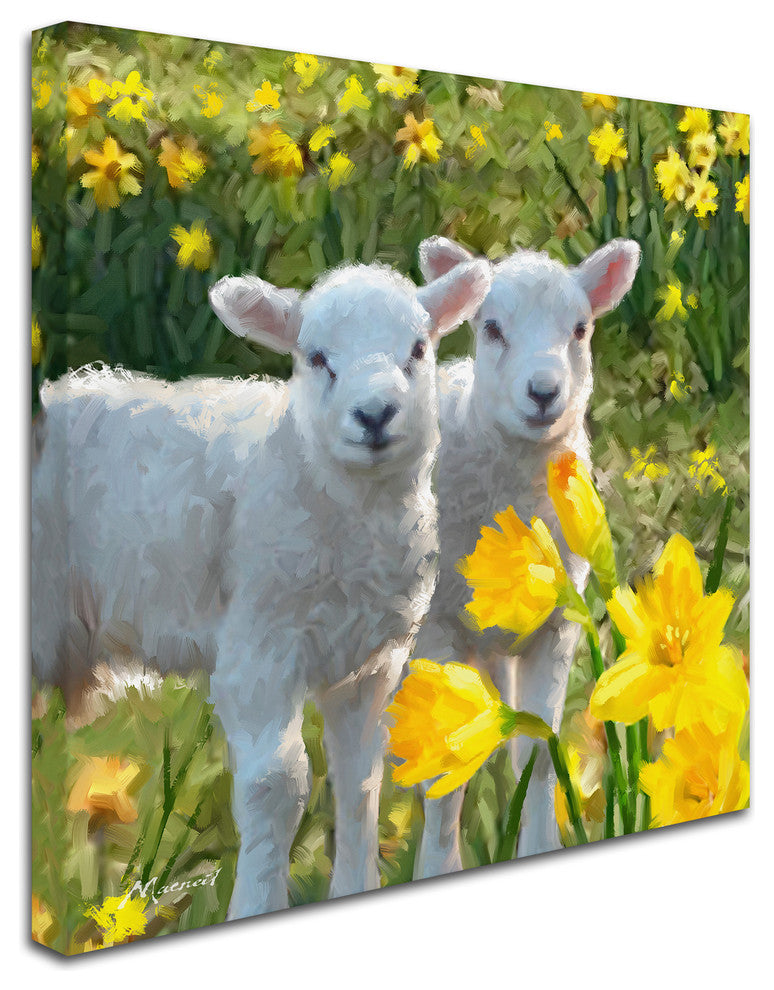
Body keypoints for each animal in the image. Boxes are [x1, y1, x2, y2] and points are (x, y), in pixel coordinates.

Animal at [31, 258, 492, 921]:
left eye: (418, 349)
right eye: (317, 357)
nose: (375, 415)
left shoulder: (369, 659)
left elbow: (360, 778)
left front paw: (355, 888)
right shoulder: (259, 647)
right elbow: (278, 785)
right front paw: (255, 905)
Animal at [410, 236, 640, 878]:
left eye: (581, 329)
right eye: (491, 328)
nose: (543, 393)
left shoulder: (557, 627)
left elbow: (539, 755)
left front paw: (538, 845)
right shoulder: (439, 629)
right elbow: (442, 783)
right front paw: (436, 868)